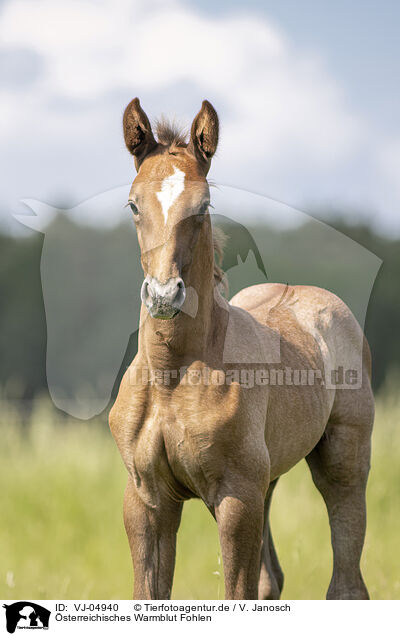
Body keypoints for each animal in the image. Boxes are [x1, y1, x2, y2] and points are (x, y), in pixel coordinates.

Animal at [108, 97, 374, 600]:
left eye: (204, 205)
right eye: (133, 204)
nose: (163, 295)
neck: (172, 377)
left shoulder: (235, 498)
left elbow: (236, 592)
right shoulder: (147, 499)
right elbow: (150, 595)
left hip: (342, 462)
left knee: (347, 582)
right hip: (267, 481)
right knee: (272, 580)